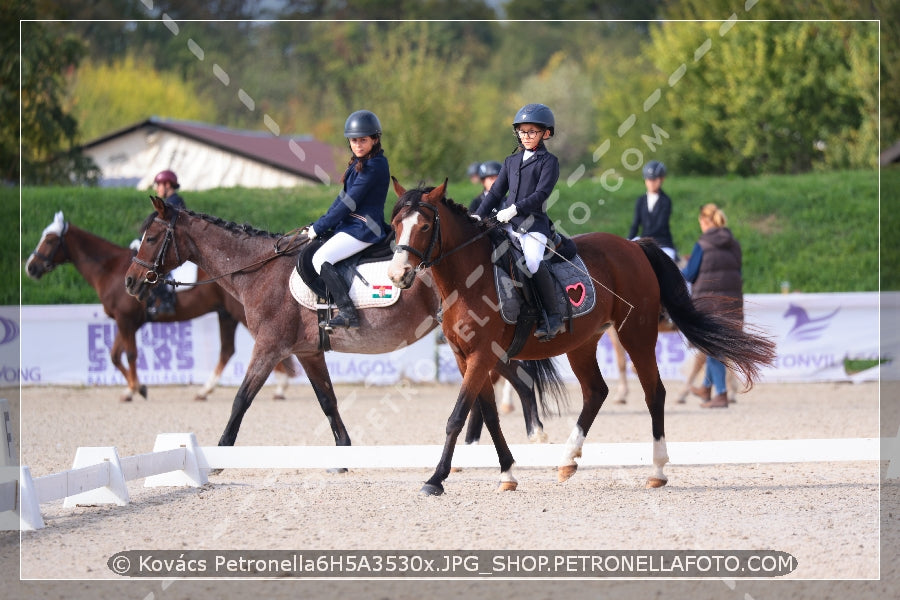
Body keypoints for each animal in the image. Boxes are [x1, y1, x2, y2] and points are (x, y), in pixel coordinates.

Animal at [24, 211, 296, 404]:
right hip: (226, 314)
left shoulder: (125, 320)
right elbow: (114, 355)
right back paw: (206, 390)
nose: (31, 267)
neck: (110, 269)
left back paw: (281, 386)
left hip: (239, 314)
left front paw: (137, 389)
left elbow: (130, 355)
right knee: (227, 351)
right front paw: (132, 389)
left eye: (50, 240)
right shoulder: (128, 322)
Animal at [125, 197, 548, 454]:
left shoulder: (269, 347)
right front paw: (344, 455)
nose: (131, 282)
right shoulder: (307, 352)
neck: (259, 271)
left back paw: (529, 436)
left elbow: (240, 401)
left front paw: (221, 455)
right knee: (511, 378)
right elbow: (328, 403)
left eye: (151, 237)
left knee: (513, 378)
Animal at [386, 179, 772, 496]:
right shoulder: (464, 356)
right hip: (583, 343)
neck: (468, 279)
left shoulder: (483, 354)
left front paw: (435, 479)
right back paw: (568, 459)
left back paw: (658, 470)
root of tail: (633, 246)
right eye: (395, 225)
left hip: (635, 334)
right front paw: (507, 474)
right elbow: (488, 416)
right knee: (596, 392)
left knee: (654, 393)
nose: (397, 275)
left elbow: (456, 416)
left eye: (424, 226)